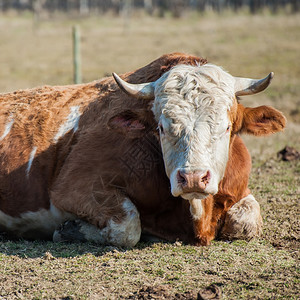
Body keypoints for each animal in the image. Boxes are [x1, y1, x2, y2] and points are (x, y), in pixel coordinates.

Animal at [0, 53, 286, 246]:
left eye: (227, 127)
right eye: (161, 127)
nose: (193, 178)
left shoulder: (240, 189)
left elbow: (245, 222)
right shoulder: (72, 187)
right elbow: (128, 227)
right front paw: (72, 230)